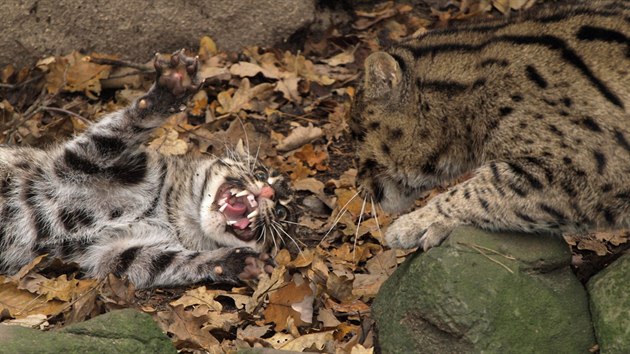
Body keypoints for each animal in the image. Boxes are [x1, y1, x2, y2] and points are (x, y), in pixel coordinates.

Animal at [0, 49, 296, 288]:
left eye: (283, 213)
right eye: (261, 174)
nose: (270, 193)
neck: (166, 213)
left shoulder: (114, 252)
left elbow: (174, 262)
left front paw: (236, 262)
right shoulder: (78, 162)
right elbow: (125, 126)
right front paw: (169, 91)